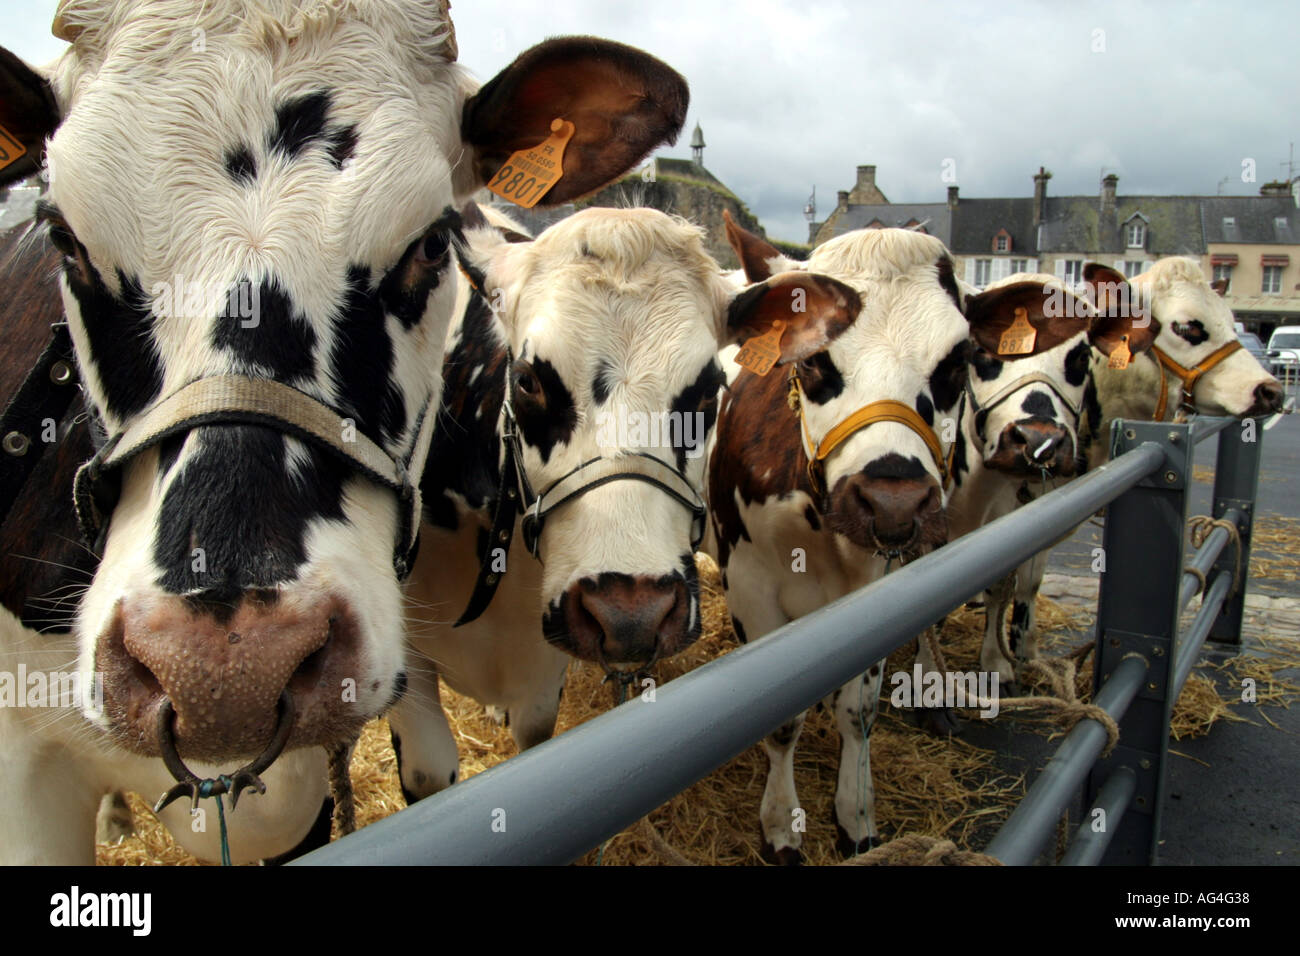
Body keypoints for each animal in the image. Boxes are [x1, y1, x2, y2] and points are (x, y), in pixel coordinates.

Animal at [707, 218, 1081, 868]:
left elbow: (858, 710)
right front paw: (781, 826)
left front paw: (856, 815)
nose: (892, 501)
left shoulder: (877, 584)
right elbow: (782, 721)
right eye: (813, 360)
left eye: (961, 359)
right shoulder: (750, 589)